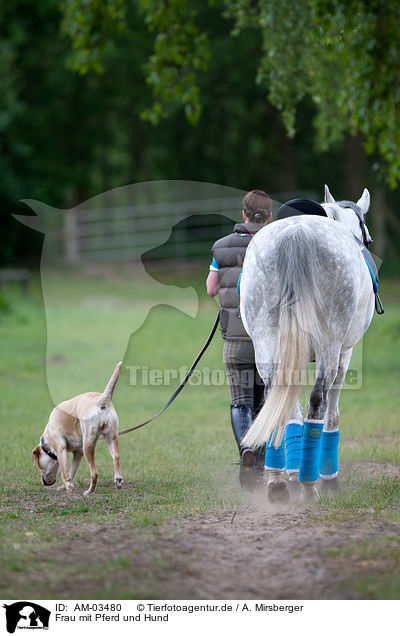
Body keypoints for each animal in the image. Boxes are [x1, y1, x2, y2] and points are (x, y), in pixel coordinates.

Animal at [31, 360, 123, 494]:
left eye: (39, 465)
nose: (43, 483)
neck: (47, 440)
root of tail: (101, 400)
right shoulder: (78, 453)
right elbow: (72, 472)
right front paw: (67, 486)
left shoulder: (61, 449)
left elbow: (64, 473)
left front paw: (68, 488)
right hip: (111, 437)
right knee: (116, 457)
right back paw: (118, 481)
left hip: (88, 444)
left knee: (94, 473)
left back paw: (89, 492)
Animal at [241, 184, 376, 502]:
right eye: (368, 237)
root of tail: (296, 233)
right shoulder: (344, 353)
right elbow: (331, 412)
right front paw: (328, 477)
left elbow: (292, 410)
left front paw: (291, 473)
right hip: (329, 343)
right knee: (317, 401)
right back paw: (310, 484)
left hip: (266, 341)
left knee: (278, 398)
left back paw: (279, 482)